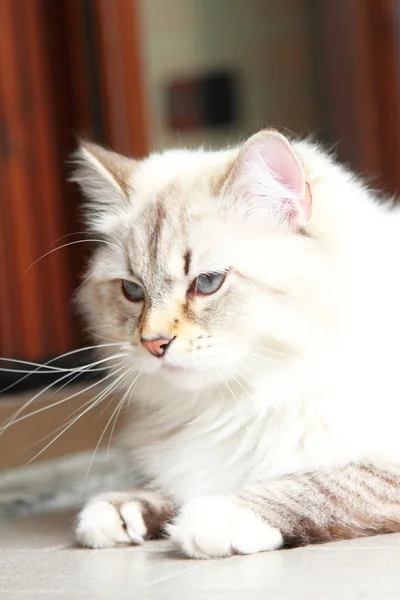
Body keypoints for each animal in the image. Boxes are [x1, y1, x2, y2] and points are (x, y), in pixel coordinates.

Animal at [73, 130, 400, 556]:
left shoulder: (379, 466)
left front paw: (213, 518)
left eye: (207, 282)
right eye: (132, 291)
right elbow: (169, 484)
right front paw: (122, 511)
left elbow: (323, 484)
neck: (239, 402)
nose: (153, 344)